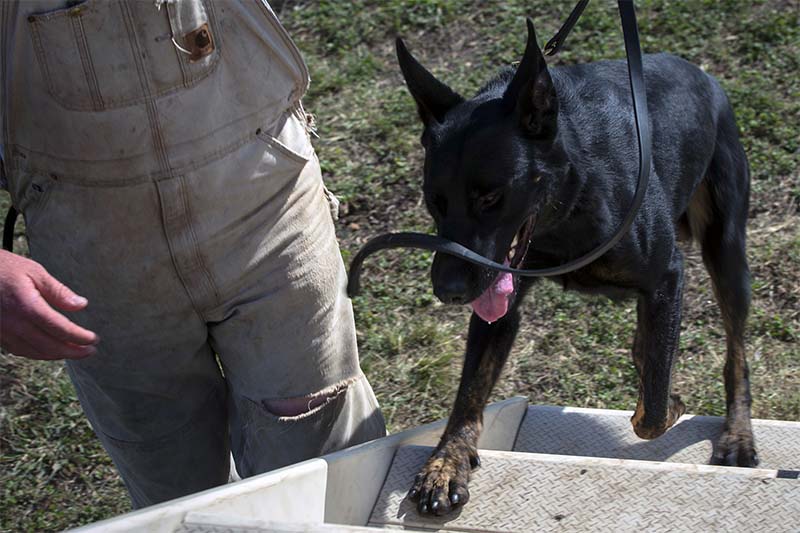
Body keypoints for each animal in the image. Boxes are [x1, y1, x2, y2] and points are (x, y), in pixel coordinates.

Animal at [400, 20, 756, 516]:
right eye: (435, 200)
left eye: (491, 197)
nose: (449, 291)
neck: (569, 198)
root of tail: (701, 73)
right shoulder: (502, 298)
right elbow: (470, 389)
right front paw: (445, 461)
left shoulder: (667, 274)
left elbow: (652, 410)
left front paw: (668, 398)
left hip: (726, 248)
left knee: (735, 352)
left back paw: (737, 433)